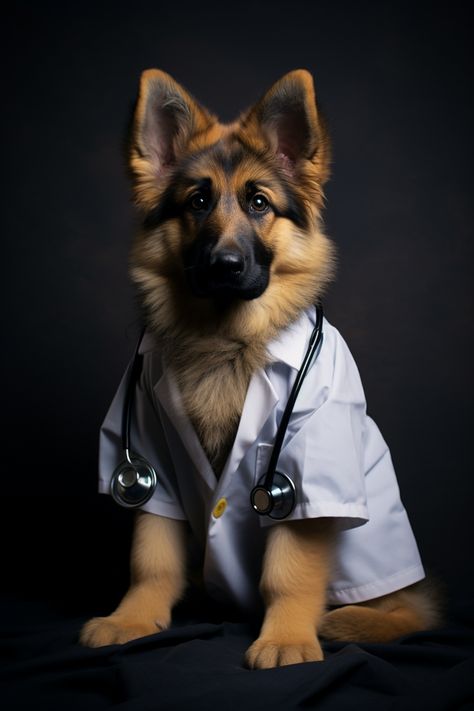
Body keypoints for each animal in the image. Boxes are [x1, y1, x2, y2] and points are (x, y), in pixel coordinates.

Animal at [79, 67, 438, 668]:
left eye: (259, 203)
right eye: (198, 201)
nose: (225, 265)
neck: (225, 340)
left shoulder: (307, 457)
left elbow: (289, 566)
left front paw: (287, 637)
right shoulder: (149, 453)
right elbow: (151, 555)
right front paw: (131, 618)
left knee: (413, 610)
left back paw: (351, 620)